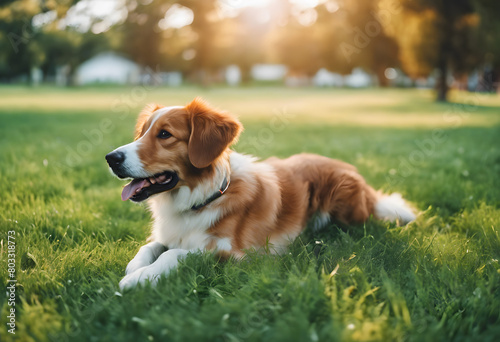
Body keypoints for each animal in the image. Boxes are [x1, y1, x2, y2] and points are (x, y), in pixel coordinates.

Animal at [105, 98, 414, 288]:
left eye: (165, 134)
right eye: (142, 133)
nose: (111, 158)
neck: (202, 199)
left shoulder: (239, 254)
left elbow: (176, 254)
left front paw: (139, 279)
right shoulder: (169, 234)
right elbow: (151, 246)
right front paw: (135, 266)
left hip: (345, 201)